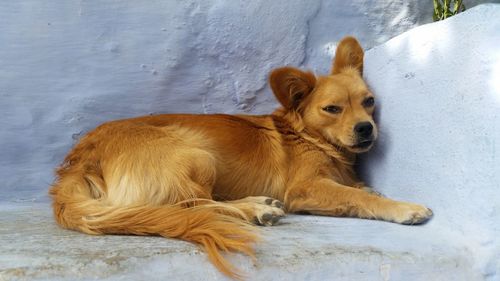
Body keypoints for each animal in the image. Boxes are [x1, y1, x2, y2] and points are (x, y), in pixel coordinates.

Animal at [49, 36, 434, 278]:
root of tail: (77, 159)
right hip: (196, 151)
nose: (366, 128)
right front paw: (402, 207)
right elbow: (355, 196)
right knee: (188, 206)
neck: (311, 136)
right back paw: (255, 209)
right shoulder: (303, 189)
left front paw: (367, 188)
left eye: (368, 102)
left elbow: (357, 189)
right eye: (332, 109)